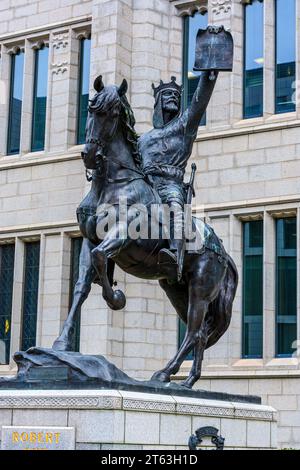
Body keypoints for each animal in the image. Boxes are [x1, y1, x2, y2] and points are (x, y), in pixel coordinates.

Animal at [52, 77, 238, 390]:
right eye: (91, 110)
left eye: (113, 113)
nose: (89, 156)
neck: (113, 184)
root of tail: (222, 250)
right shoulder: (89, 240)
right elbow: (81, 287)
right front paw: (61, 344)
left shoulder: (121, 235)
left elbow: (101, 258)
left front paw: (116, 298)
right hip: (176, 289)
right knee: (200, 331)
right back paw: (187, 382)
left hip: (201, 288)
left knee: (194, 330)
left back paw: (164, 374)